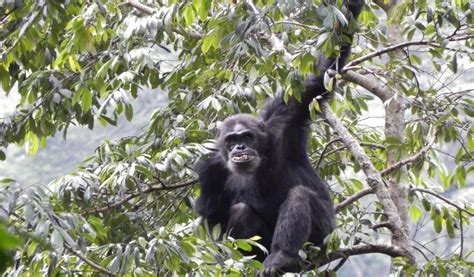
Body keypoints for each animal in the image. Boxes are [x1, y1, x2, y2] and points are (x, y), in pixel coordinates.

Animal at [194, 0, 364, 272]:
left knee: (299, 196)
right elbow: (215, 218)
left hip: (325, 238)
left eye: (246, 137)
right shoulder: (210, 173)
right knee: (241, 211)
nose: (240, 148)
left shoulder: (286, 116)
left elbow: (321, 72)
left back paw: (283, 256)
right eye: (231, 140)